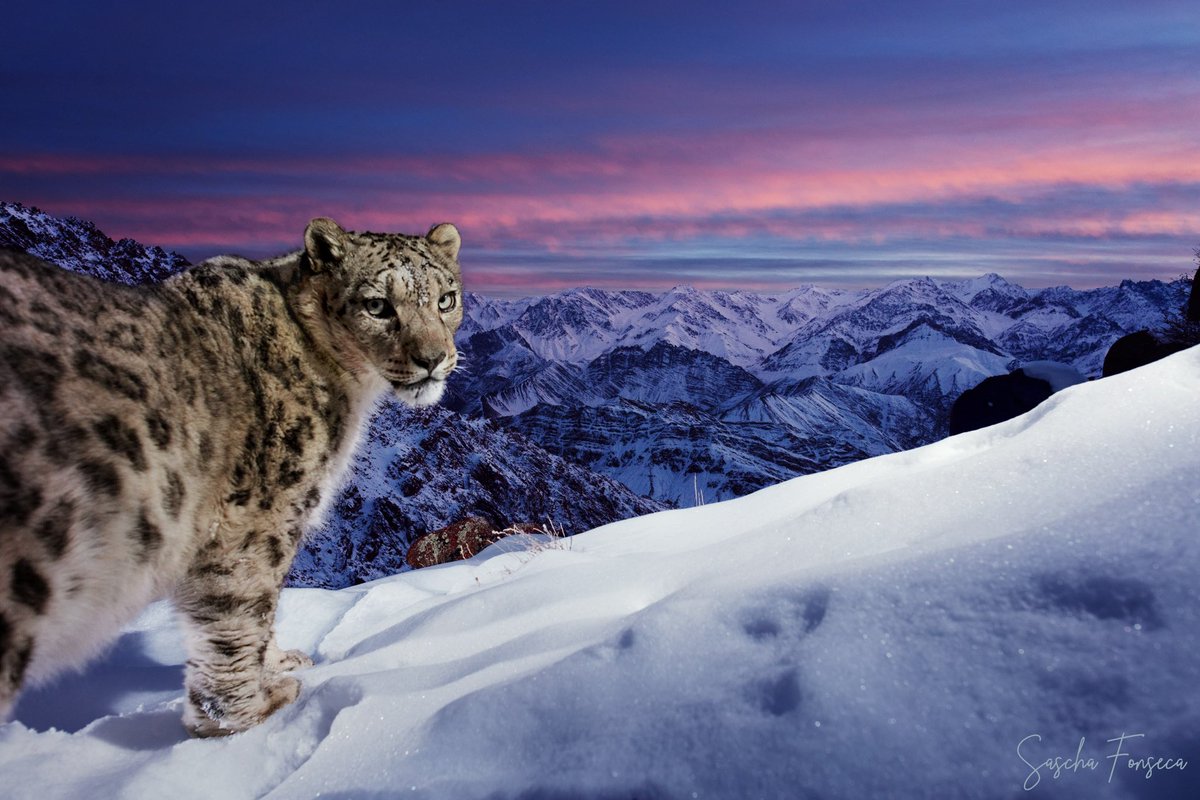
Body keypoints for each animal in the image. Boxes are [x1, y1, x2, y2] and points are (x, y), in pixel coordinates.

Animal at [0, 217, 463, 736]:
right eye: (377, 305)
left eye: (446, 299)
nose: (433, 358)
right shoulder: (258, 518)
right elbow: (240, 612)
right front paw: (250, 712)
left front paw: (278, 662)